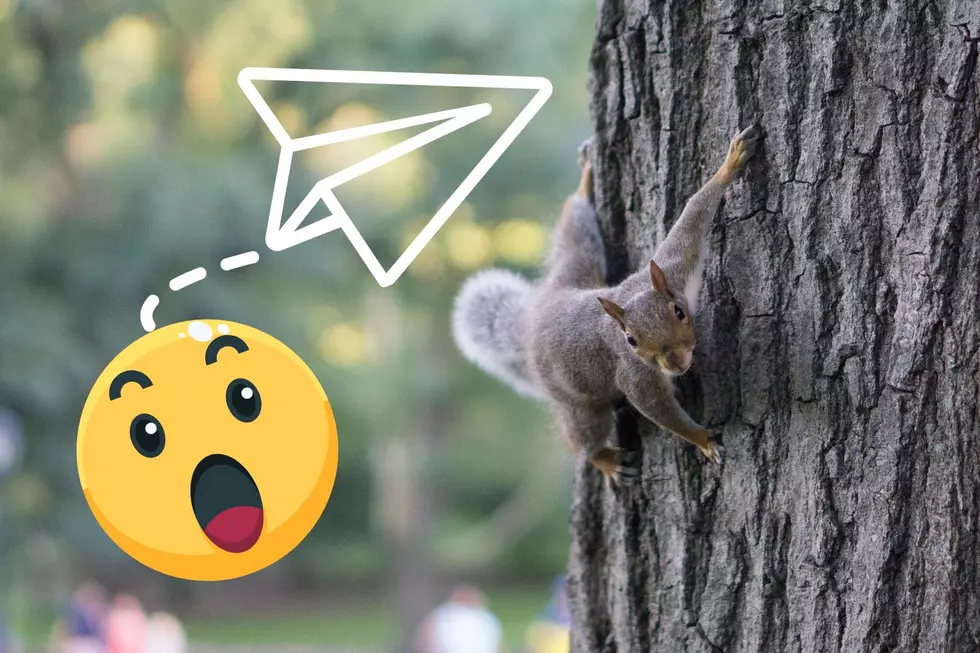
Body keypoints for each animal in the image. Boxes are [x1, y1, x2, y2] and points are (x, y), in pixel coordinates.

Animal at [452, 125, 761, 485]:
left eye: (679, 312)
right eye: (631, 341)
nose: (674, 362)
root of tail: (533, 320)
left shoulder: (674, 266)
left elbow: (694, 214)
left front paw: (731, 162)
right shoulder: (635, 375)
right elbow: (657, 410)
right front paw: (702, 440)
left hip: (577, 264)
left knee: (573, 231)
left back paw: (584, 185)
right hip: (576, 402)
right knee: (581, 438)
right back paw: (604, 460)